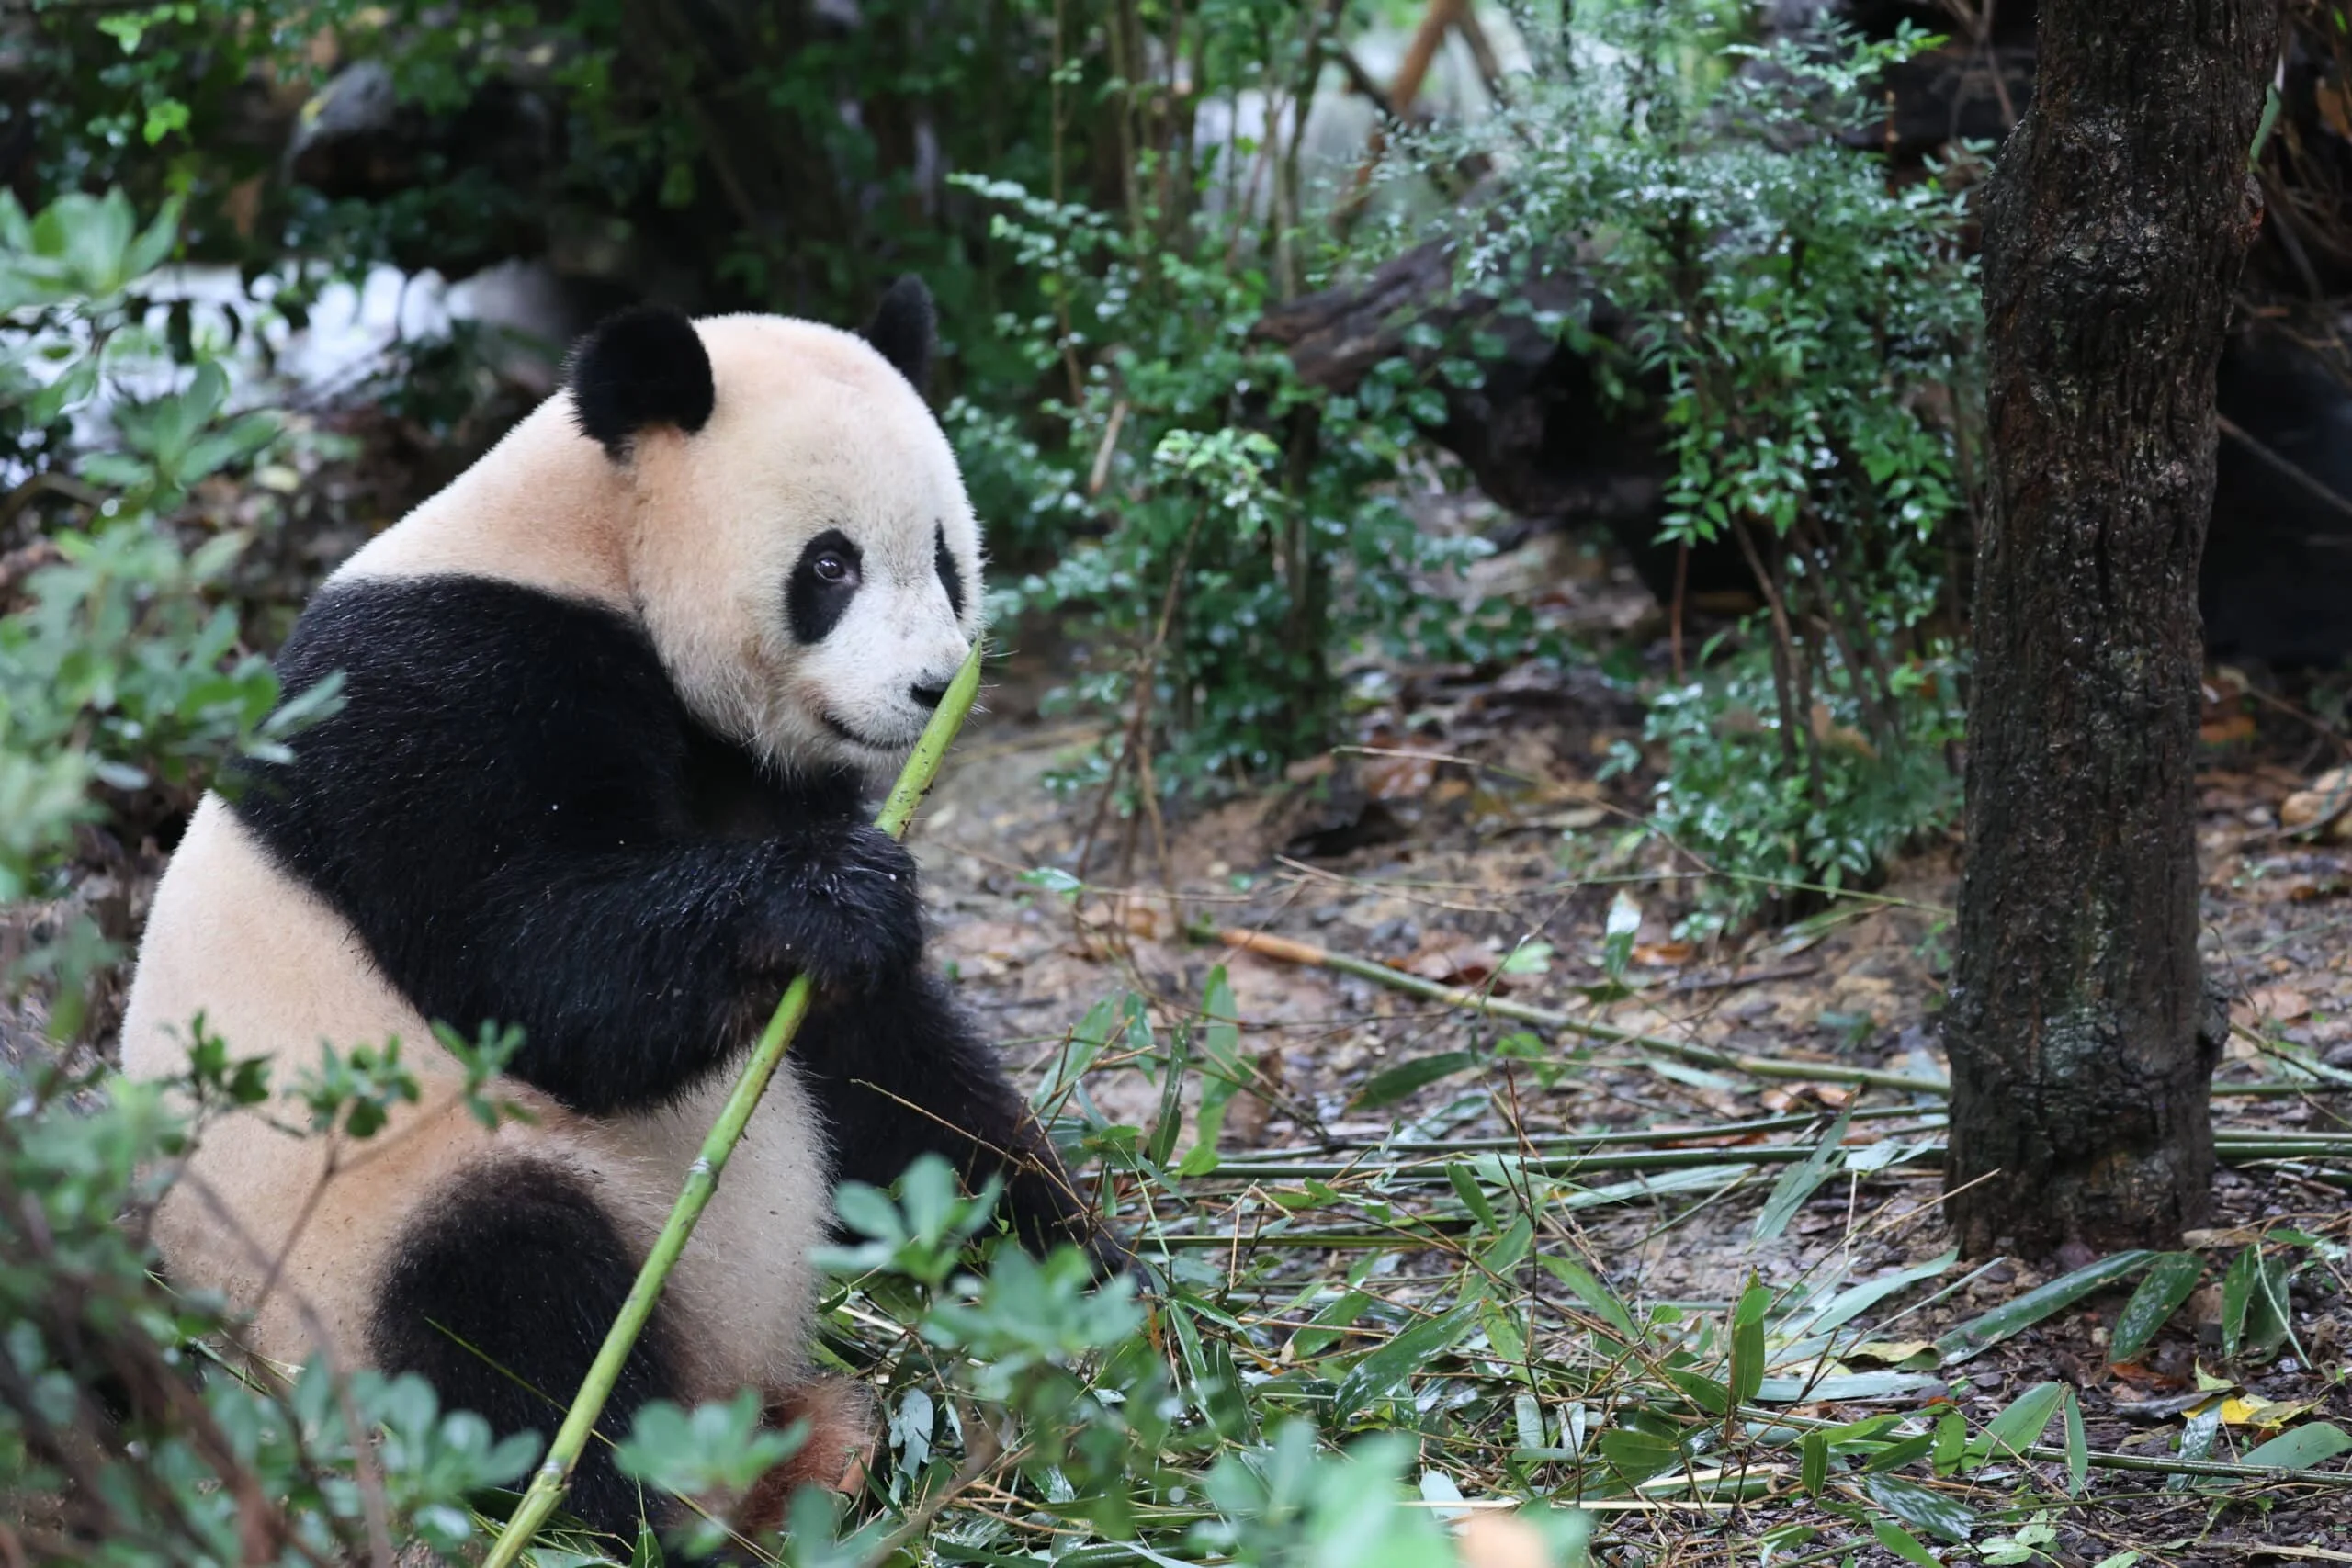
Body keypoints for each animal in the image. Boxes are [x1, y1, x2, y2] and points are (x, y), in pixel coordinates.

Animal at [118, 279, 1124, 1547]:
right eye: (830, 565)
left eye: (945, 557)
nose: (934, 688)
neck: (592, 550)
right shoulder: (437, 697)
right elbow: (534, 974)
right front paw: (826, 897)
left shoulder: (745, 767)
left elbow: (878, 1060)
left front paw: (1082, 1268)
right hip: (343, 1261)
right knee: (498, 1299)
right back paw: (645, 1507)